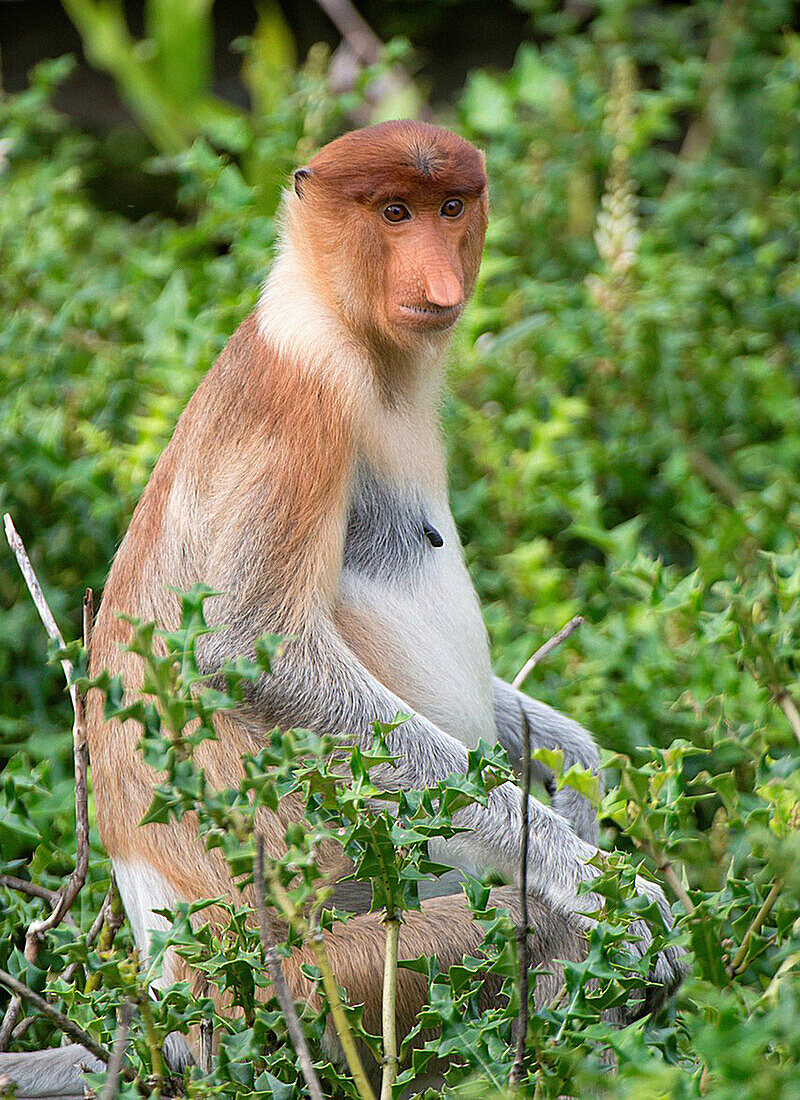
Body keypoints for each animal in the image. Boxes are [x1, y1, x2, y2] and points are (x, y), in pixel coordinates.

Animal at [3, 118, 686, 1091]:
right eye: (393, 213)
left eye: (450, 208)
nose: (438, 283)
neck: (337, 319)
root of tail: (176, 1004)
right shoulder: (306, 402)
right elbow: (244, 649)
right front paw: (603, 884)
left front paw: (575, 771)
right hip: (325, 988)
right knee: (528, 939)